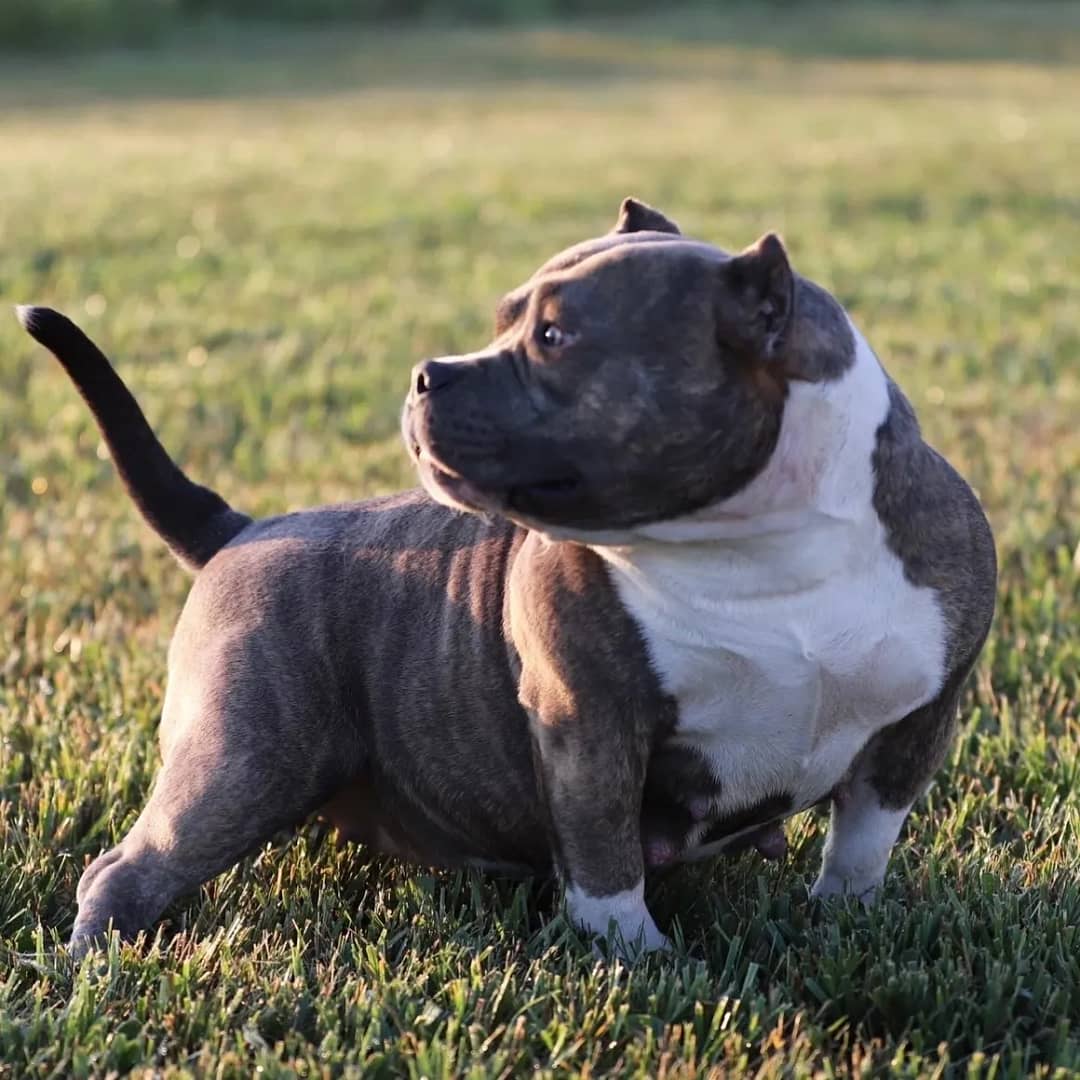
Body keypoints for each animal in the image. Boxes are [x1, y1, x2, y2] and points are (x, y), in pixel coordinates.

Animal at [16, 200, 993, 954]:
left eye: (553, 336)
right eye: (507, 325)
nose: (425, 374)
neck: (758, 548)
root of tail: (246, 531)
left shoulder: (918, 723)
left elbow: (863, 842)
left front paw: (845, 923)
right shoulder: (589, 724)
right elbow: (603, 861)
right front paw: (637, 959)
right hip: (241, 759)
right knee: (129, 868)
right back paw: (98, 962)